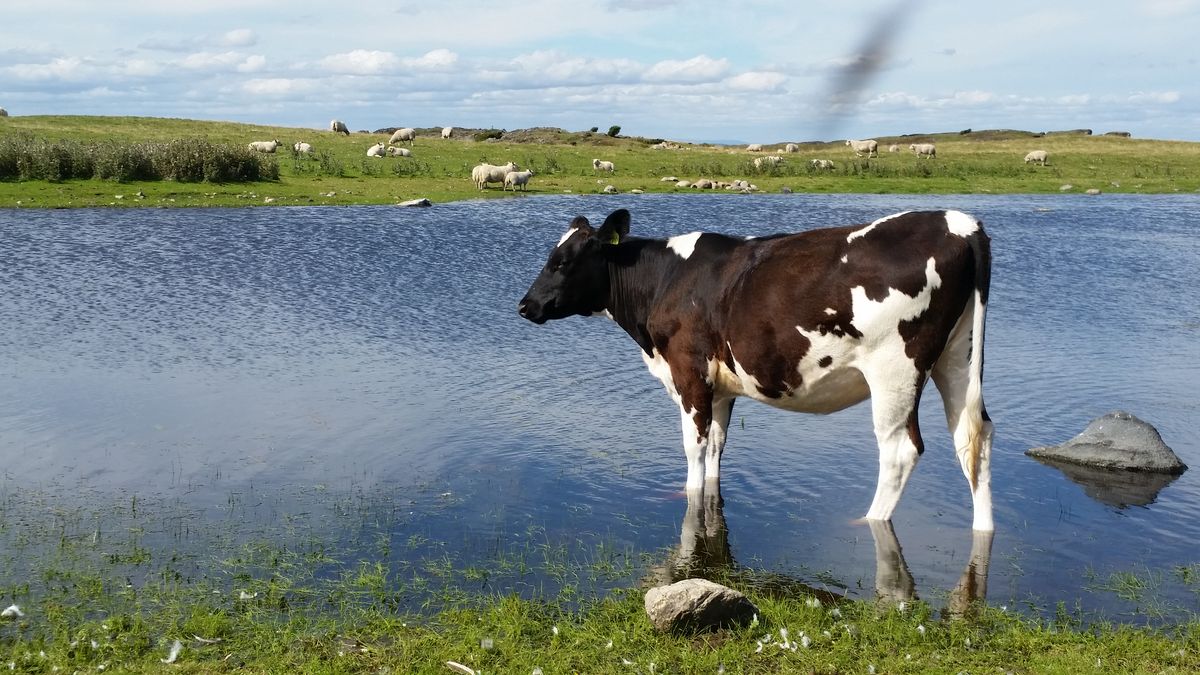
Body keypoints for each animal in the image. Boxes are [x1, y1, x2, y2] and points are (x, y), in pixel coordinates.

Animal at [516, 207, 993, 528]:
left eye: (561, 261)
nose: (524, 305)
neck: (665, 282)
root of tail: (960, 223)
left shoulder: (690, 372)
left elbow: (694, 448)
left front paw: (689, 498)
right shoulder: (723, 385)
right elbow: (717, 447)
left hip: (896, 369)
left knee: (900, 450)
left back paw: (868, 521)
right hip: (957, 358)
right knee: (974, 439)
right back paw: (983, 529)